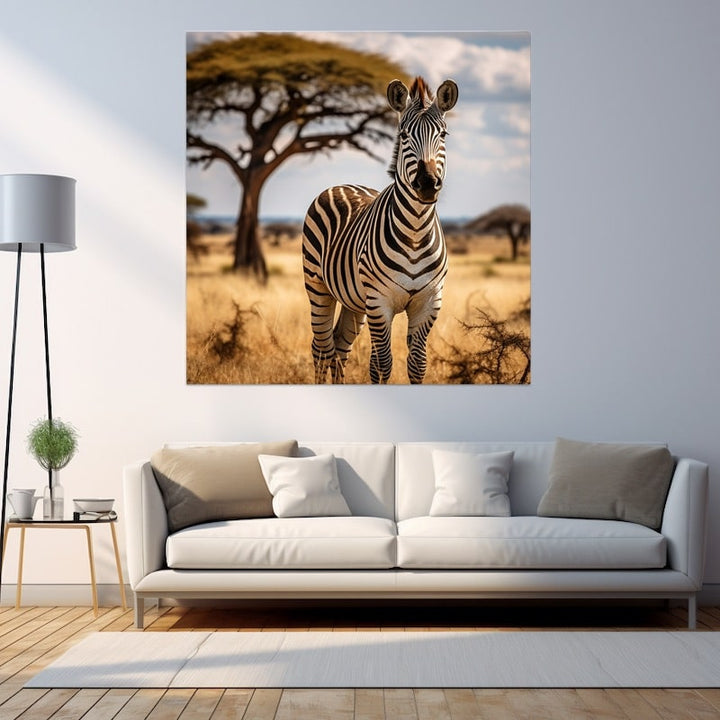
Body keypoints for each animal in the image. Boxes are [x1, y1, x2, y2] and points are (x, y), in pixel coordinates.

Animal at [302, 76, 458, 384]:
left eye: (444, 135)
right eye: (404, 135)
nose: (427, 183)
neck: (415, 232)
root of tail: (342, 183)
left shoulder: (429, 302)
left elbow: (417, 364)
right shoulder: (378, 301)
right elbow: (382, 364)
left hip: (353, 300)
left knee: (340, 345)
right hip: (318, 286)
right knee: (321, 348)